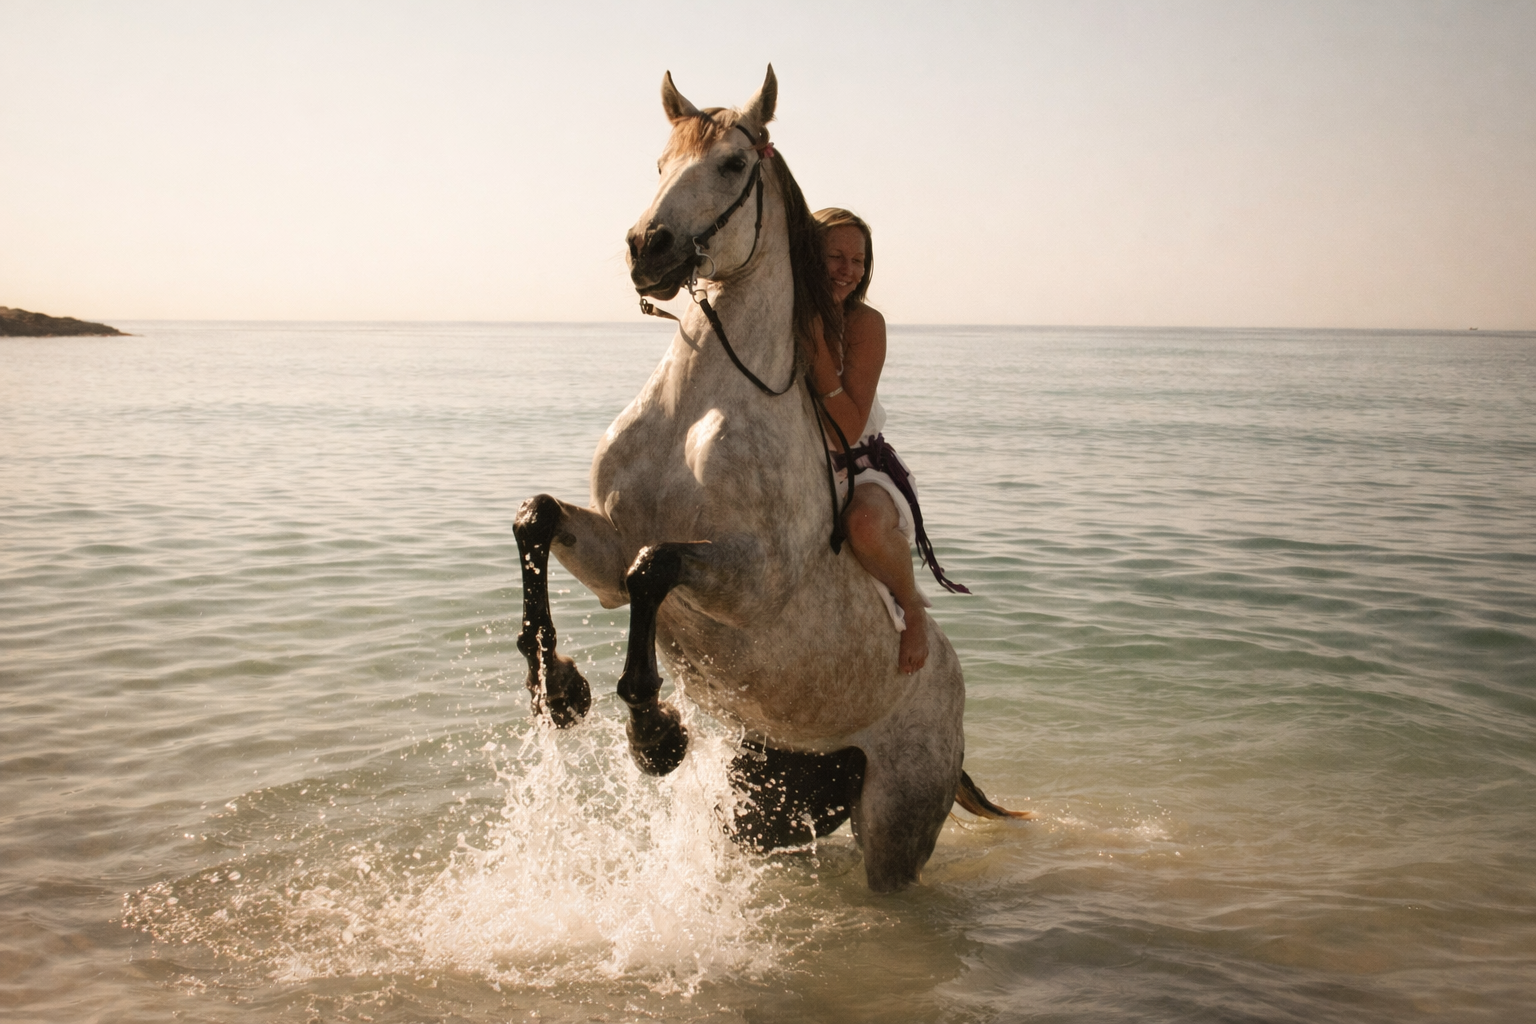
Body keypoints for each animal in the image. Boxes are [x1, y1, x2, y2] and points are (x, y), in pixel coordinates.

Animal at [513, 66, 1028, 892]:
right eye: (659, 163)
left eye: (730, 165)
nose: (647, 248)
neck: (697, 408)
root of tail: (955, 697)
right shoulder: (607, 556)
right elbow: (537, 516)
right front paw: (556, 689)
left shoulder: (750, 582)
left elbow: (655, 565)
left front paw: (653, 735)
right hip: (767, 802)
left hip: (896, 832)